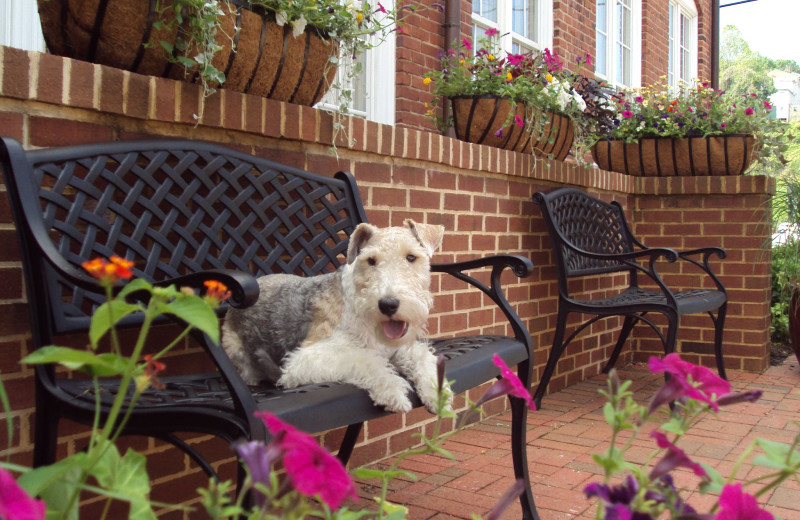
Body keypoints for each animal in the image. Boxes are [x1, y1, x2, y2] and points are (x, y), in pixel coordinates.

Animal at [222, 219, 446, 414]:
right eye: (371, 260)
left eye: (411, 257)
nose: (388, 305)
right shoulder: (305, 359)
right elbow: (366, 359)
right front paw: (394, 393)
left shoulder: (396, 348)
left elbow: (422, 356)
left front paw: (438, 395)